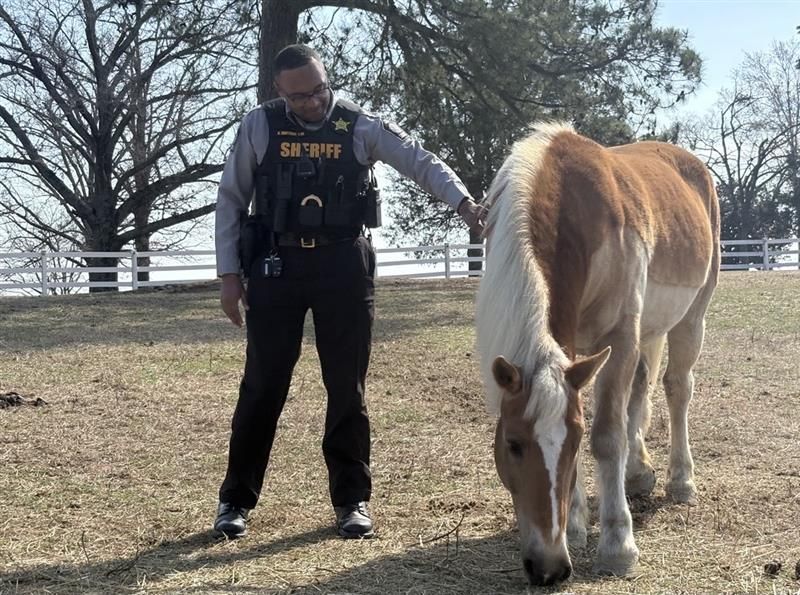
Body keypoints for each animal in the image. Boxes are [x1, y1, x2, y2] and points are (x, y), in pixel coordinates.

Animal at [475, 122, 720, 586]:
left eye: (574, 443)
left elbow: (607, 436)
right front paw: (574, 526)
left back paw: (681, 481)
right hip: (647, 330)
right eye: (513, 443)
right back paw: (638, 472)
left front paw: (617, 546)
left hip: (691, 316)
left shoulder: (619, 335)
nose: (549, 567)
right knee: (641, 388)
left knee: (677, 389)